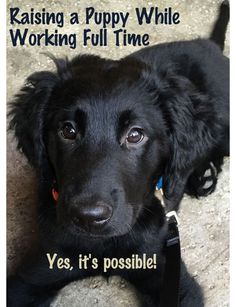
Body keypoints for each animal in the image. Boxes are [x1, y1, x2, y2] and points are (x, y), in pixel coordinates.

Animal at [7, 2, 229, 307]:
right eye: (67, 130)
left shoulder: (170, 276)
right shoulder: (35, 273)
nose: (89, 217)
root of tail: (208, 45)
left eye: (135, 135)